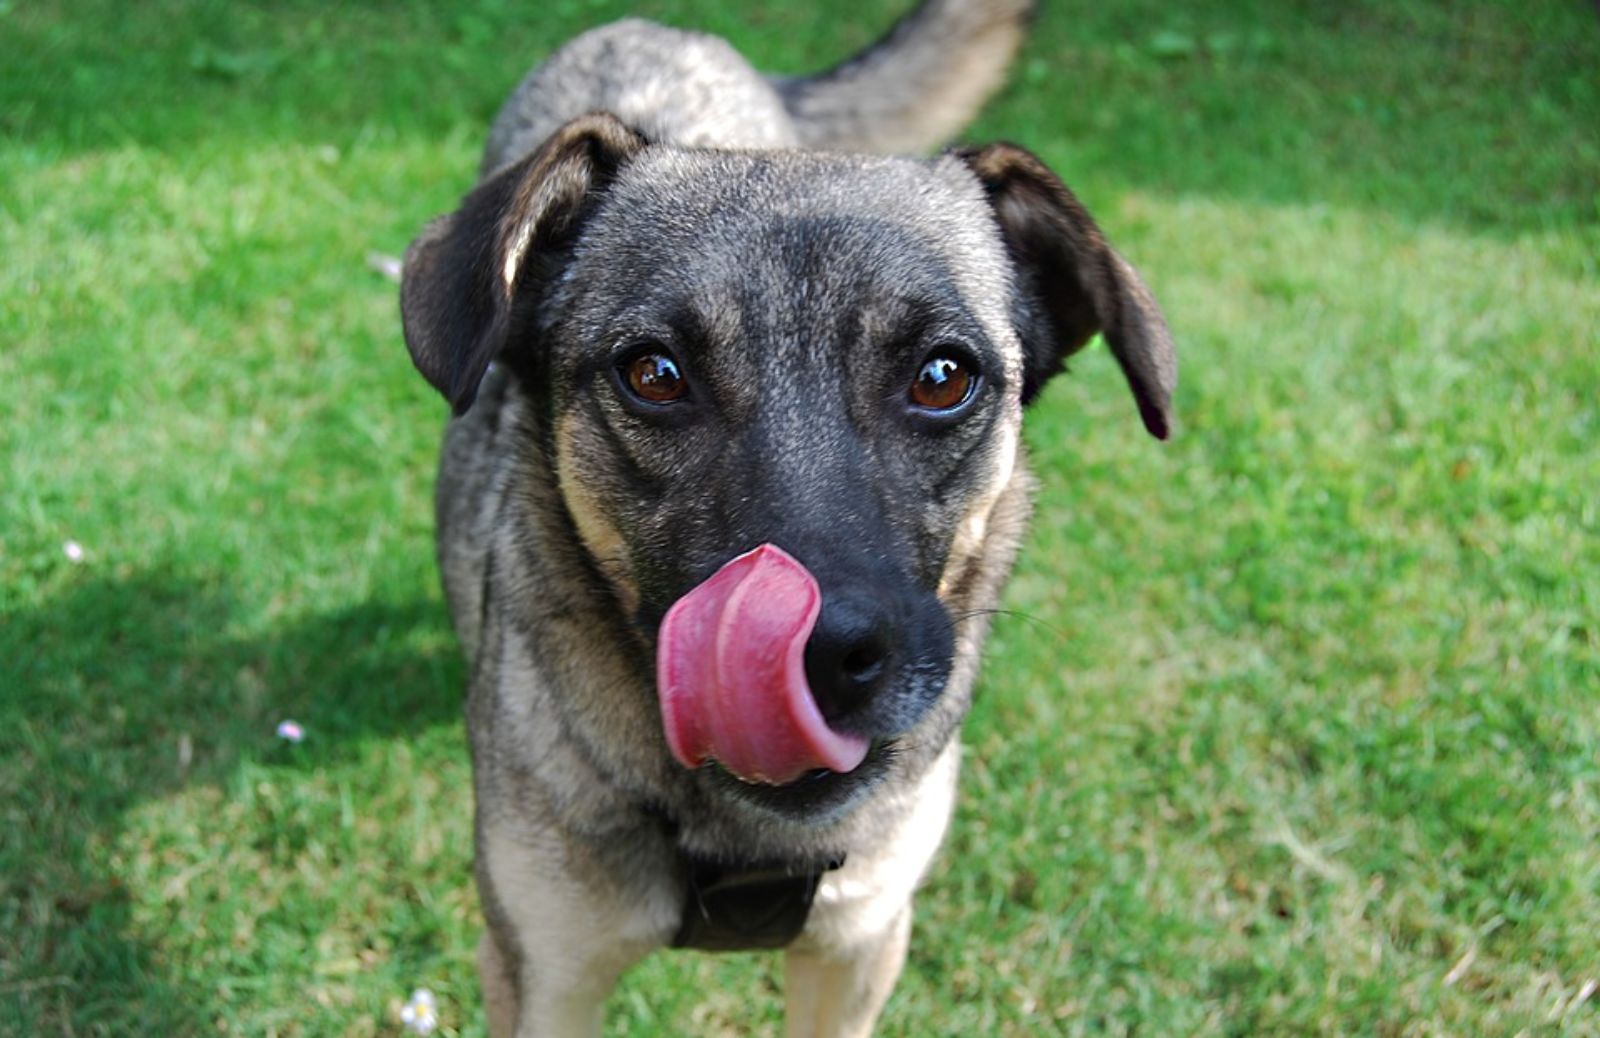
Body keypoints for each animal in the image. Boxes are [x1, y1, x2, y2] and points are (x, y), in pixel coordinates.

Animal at [400, 4, 1177, 1030]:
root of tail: (656, 30)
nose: (824, 654)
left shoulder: (859, 950)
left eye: (944, 376)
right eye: (654, 374)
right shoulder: (541, 971)